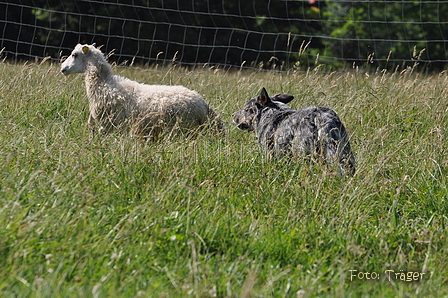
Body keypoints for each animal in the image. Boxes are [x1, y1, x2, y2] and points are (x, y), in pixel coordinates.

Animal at [61, 43, 224, 140]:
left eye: (74, 54)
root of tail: (203, 104)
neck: (104, 83)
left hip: (183, 129)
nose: (62, 69)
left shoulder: (110, 124)